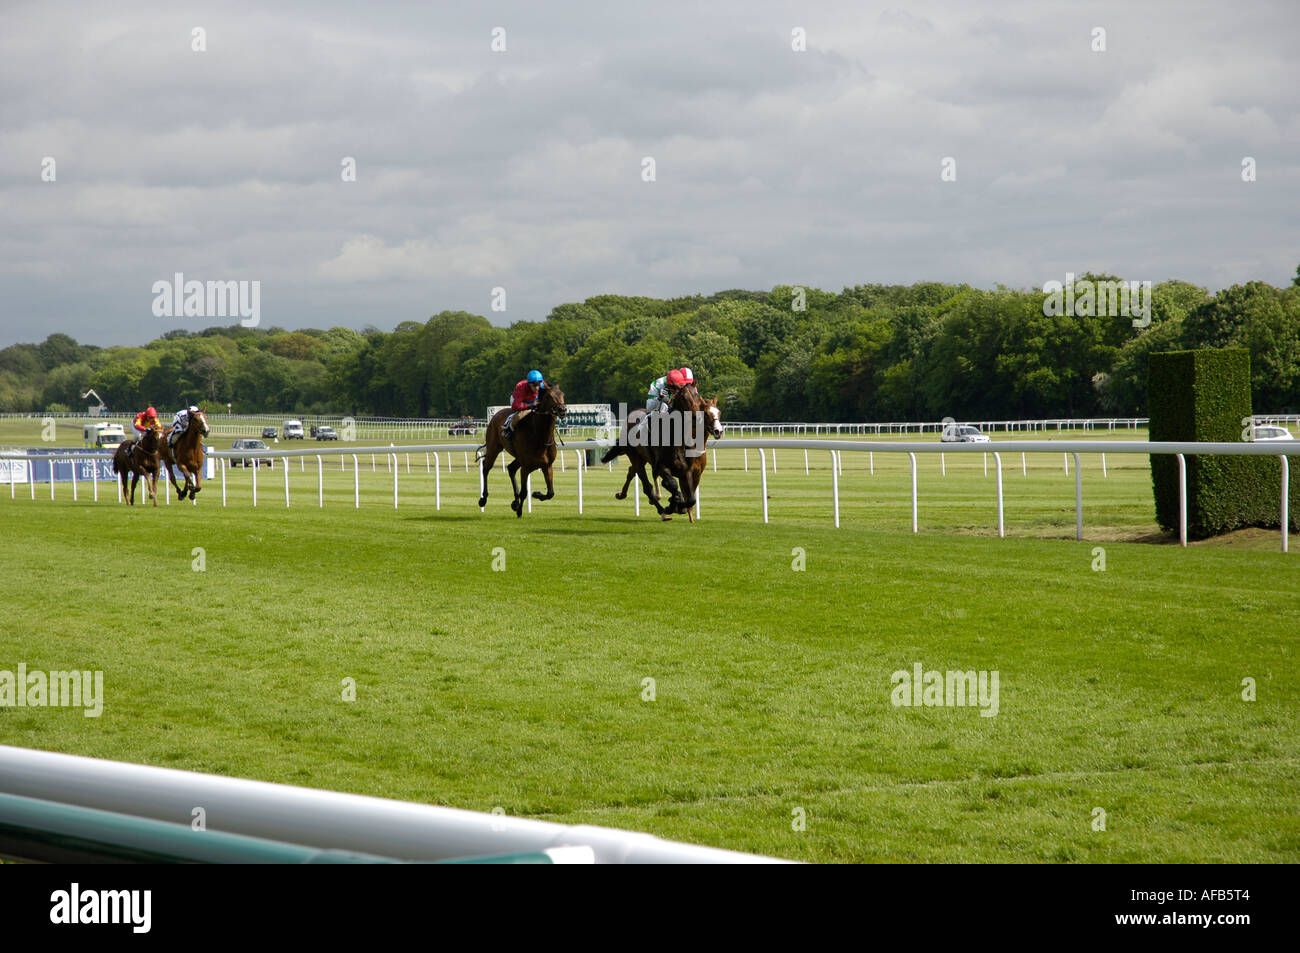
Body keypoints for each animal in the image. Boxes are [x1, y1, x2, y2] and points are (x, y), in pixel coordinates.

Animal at [473, 382, 564, 517]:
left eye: (562, 394)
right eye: (549, 396)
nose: (562, 410)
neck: (540, 436)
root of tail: (496, 414)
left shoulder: (547, 465)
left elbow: (550, 493)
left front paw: (536, 494)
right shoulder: (525, 467)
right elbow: (524, 492)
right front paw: (520, 511)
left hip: (518, 458)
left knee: (511, 468)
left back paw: (515, 502)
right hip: (494, 447)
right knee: (486, 467)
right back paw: (483, 498)